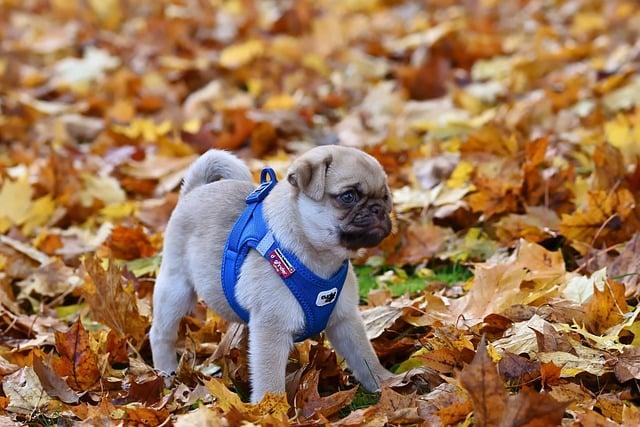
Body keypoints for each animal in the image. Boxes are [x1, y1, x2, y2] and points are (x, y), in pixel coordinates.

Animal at [151, 145, 396, 402]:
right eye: (349, 196)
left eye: (386, 197)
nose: (379, 209)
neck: (320, 259)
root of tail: (194, 190)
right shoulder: (271, 329)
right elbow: (269, 377)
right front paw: (270, 407)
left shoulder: (346, 321)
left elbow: (364, 355)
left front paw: (385, 382)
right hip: (176, 289)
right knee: (161, 334)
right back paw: (166, 373)